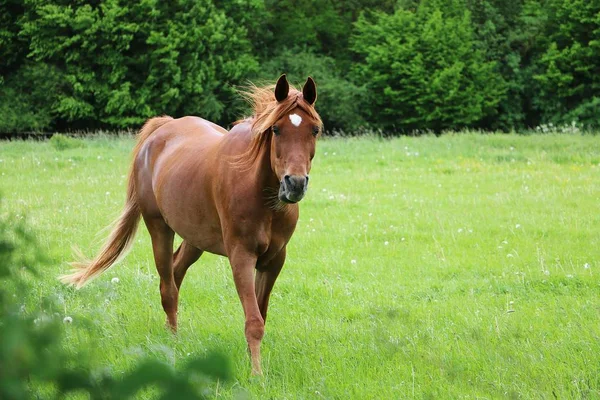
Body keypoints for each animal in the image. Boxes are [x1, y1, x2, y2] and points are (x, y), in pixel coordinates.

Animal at [60, 75, 322, 376]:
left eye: (314, 130)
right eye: (276, 129)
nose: (295, 184)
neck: (260, 193)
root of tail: (162, 129)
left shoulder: (274, 261)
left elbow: (260, 314)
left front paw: (252, 361)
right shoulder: (241, 257)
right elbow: (254, 322)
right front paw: (257, 374)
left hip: (196, 240)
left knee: (175, 272)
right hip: (159, 229)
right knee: (168, 287)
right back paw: (172, 342)